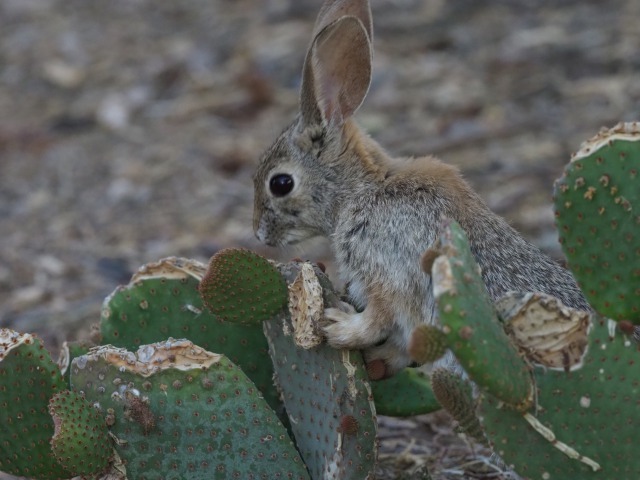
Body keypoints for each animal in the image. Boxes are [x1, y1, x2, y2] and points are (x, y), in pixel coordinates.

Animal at [251, 0, 592, 378]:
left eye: (281, 183)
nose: (258, 233)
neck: (363, 188)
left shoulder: (387, 272)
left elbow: (378, 319)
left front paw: (337, 327)